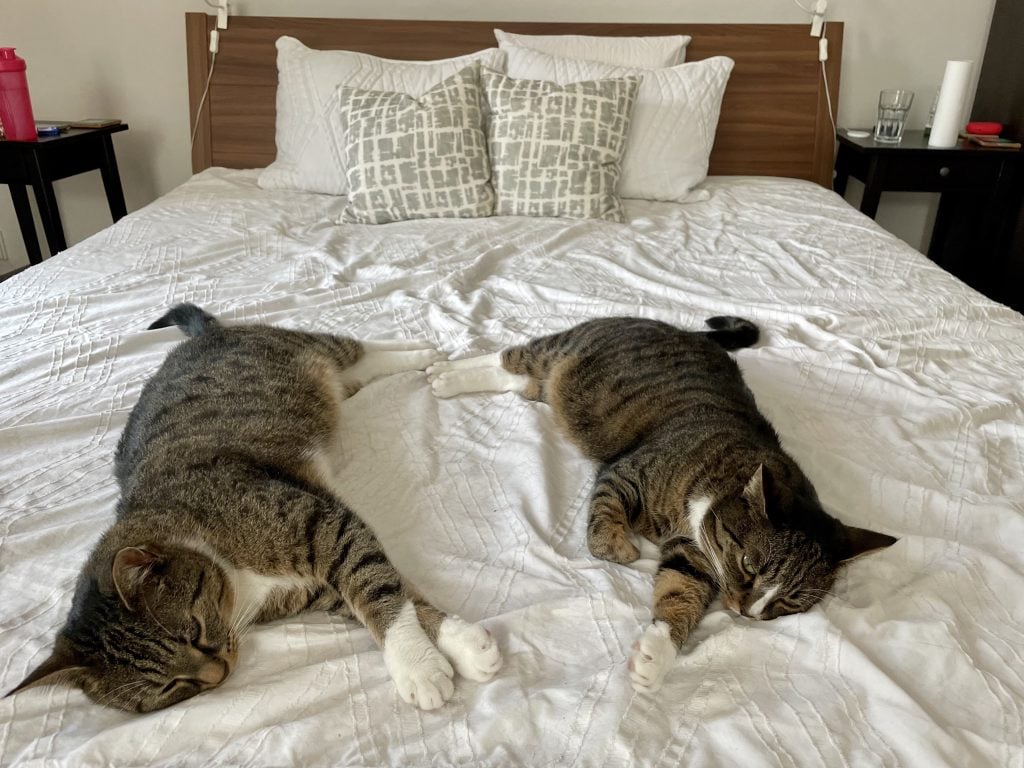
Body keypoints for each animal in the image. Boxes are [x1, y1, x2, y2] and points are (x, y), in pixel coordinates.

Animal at [6, 303, 501, 712]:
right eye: (169, 688)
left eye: (193, 631)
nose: (217, 674)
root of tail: (204, 335)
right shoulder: (317, 586)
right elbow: (396, 592)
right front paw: (458, 644)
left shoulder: (326, 524)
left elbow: (378, 589)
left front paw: (417, 665)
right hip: (330, 385)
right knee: (356, 371)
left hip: (301, 347)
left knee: (358, 348)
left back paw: (422, 351)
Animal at [428, 315, 892, 696]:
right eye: (748, 565)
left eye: (792, 603)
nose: (747, 613)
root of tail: (684, 330)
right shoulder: (625, 473)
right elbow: (603, 526)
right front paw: (622, 548)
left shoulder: (693, 559)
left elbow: (679, 592)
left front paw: (656, 655)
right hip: (565, 349)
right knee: (513, 356)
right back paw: (444, 373)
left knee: (523, 383)